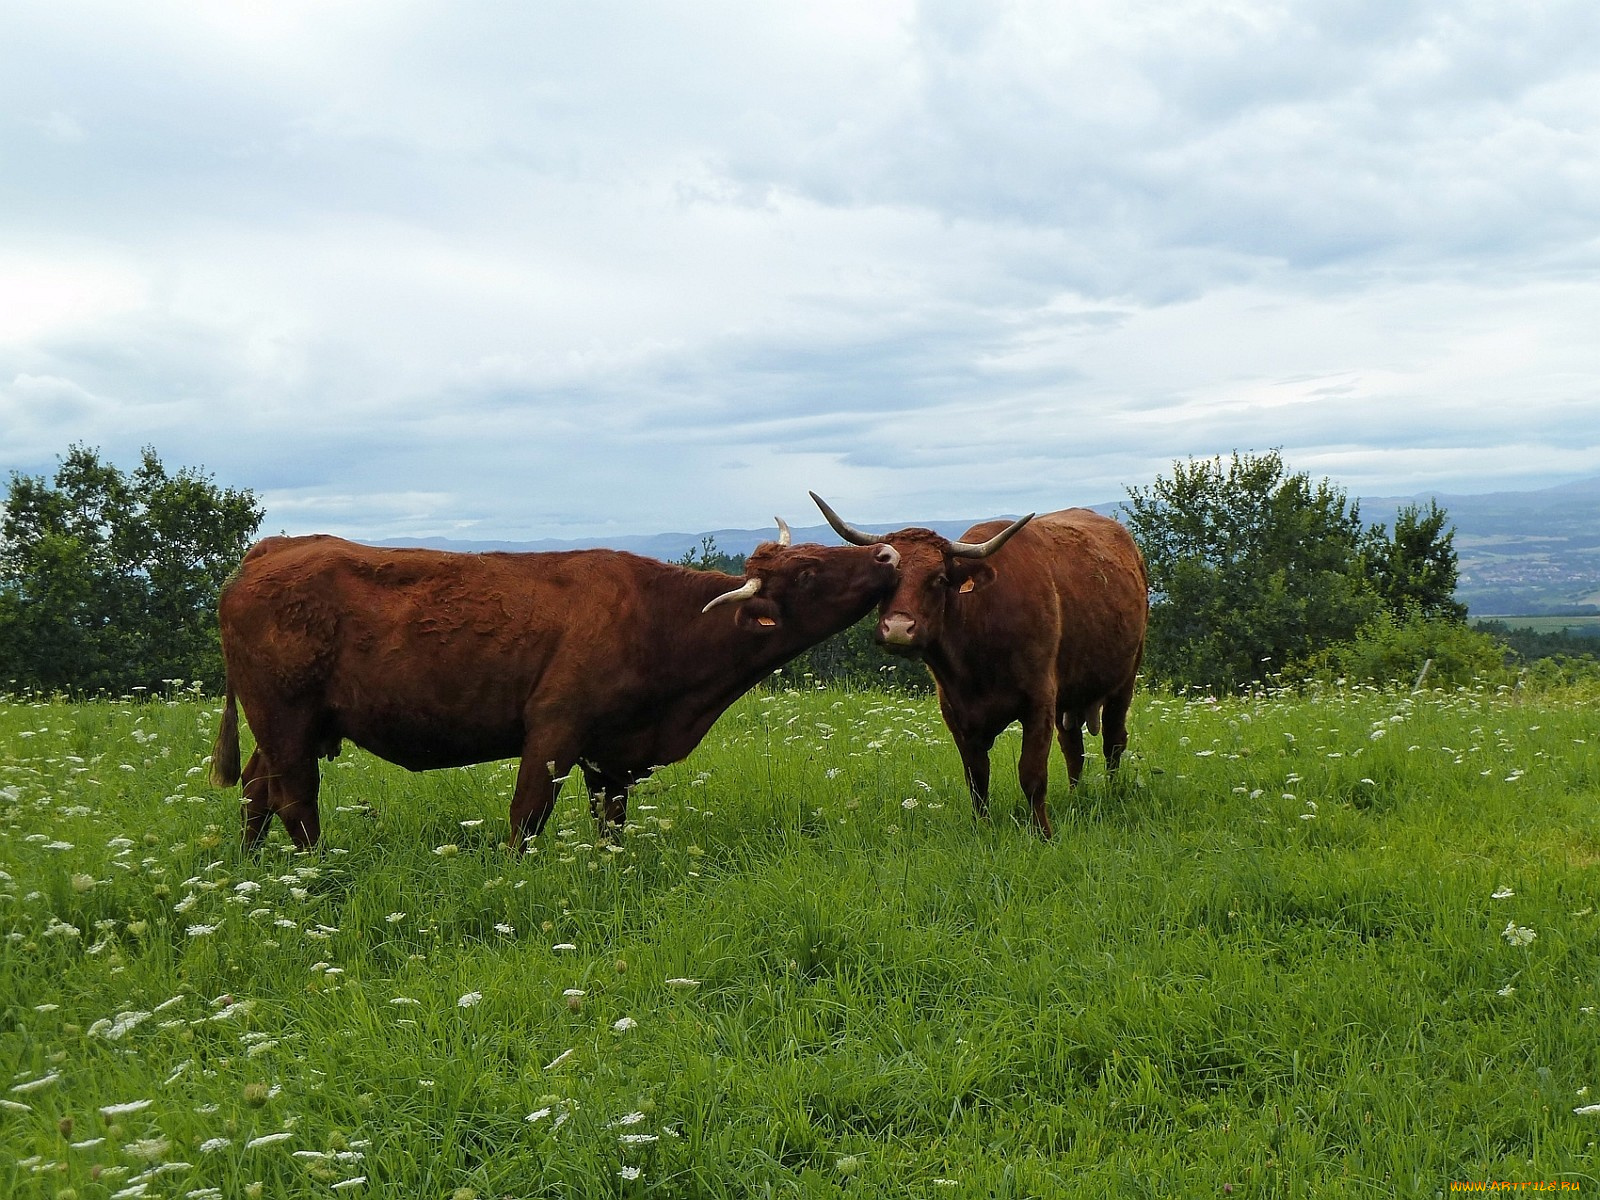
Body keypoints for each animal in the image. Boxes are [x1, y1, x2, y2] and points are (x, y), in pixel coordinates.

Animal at [211, 524, 902, 857]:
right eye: (807, 571)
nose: (888, 556)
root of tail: (272, 549)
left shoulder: (614, 752)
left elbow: (610, 823)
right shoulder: (554, 729)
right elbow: (527, 815)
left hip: (286, 726)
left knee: (255, 791)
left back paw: (252, 870)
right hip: (286, 718)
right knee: (295, 800)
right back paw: (318, 874)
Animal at [819, 492, 1145, 838]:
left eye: (940, 579)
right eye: (889, 579)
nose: (897, 628)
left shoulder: (1040, 700)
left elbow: (1032, 774)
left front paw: (1043, 833)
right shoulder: (955, 709)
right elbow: (977, 777)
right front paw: (983, 829)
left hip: (1125, 678)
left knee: (1113, 740)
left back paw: (1110, 791)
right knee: (1073, 747)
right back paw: (1075, 796)